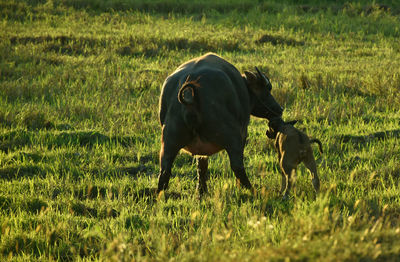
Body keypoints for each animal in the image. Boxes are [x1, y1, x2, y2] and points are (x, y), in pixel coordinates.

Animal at [158, 53, 282, 195]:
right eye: (267, 89)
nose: (280, 109)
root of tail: (190, 95)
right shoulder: (242, 134)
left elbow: (202, 164)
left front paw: (201, 190)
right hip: (233, 137)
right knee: (237, 166)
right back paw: (250, 189)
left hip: (169, 140)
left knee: (165, 170)